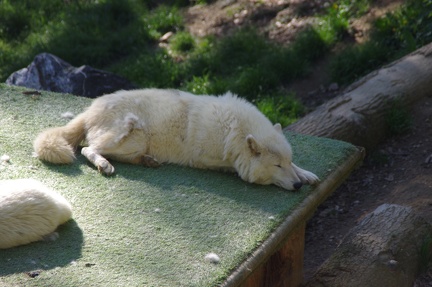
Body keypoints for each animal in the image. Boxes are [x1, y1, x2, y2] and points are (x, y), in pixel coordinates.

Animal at [33, 89, 318, 190]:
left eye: (285, 162)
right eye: (276, 166)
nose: (297, 187)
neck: (234, 128)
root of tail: (89, 109)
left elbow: (300, 167)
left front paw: (306, 175)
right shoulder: (206, 159)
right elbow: (232, 168)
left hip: (137, 143)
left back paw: (148, 162)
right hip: (133, 134)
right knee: (87, 150)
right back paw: (105, 164)